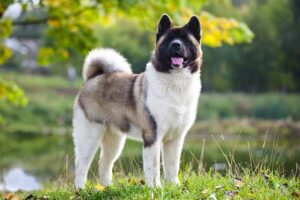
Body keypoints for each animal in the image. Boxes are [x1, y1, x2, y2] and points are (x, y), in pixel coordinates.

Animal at [72, 14, 203, 188]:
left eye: (186, 40)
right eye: (169, 39)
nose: (176, 44)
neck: (175, 82)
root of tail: (93, 78)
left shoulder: (175, 139)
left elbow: (173, 165)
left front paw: (174, 186)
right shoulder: (153, 136)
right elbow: (153, 168)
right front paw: (155, 188)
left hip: (114, 140)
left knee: (104, 163)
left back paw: (107, 188)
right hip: (89, 136)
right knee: (81, 165)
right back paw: (80, 189)